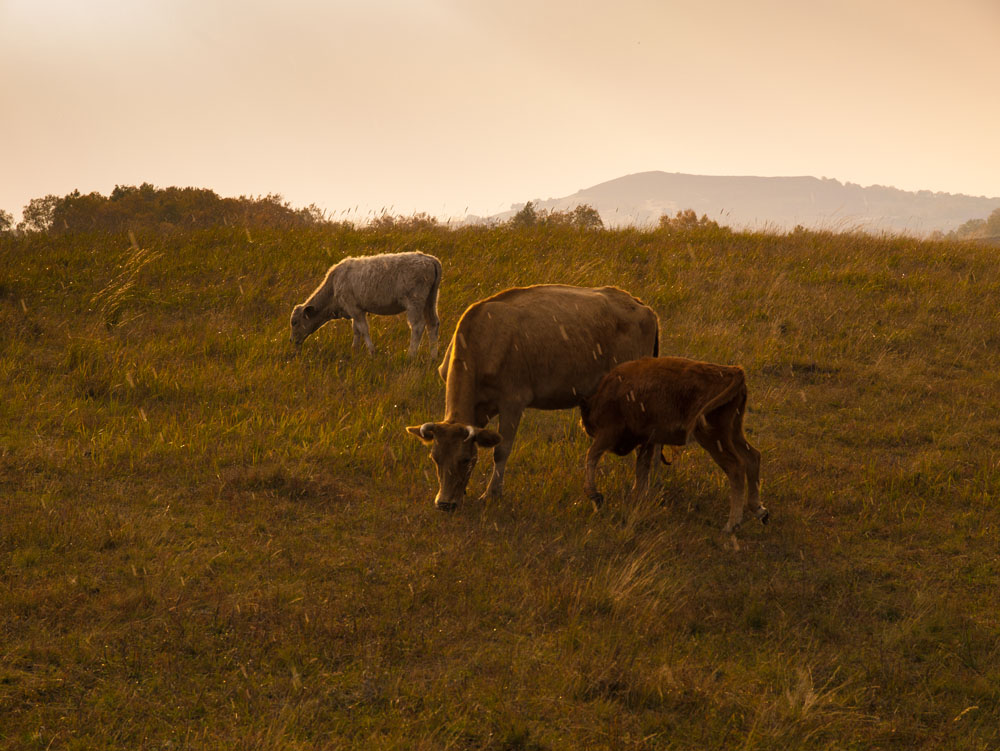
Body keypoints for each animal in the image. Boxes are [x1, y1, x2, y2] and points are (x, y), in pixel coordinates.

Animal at [292, 251, 444, 356]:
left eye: (294, 322)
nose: (291, 341)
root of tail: (429, 258)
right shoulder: (356, 309)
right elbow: (356, 330)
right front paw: (355, 351)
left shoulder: (353, 308)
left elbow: (364, 329)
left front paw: (371, 352)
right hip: (431, 300)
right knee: (433, 324)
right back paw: (433, 356)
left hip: (415, 302)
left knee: (418, 326)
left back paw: (411, 355)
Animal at [402, 284, 660, 512]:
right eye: (434, 458)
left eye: (465, 459)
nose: (444, 504)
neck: (482, 339)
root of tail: (641, 306)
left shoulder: (513, 402)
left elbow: (501, 450)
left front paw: (491, 494)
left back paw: (643, 490)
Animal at [580, 356, 764, 536]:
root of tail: (734, 372)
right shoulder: (648, 440)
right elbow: (641, 471)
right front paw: (637, 501)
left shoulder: (608, 432)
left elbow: (592, 455)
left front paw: (595, 496)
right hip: (733, 431)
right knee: (753, 456)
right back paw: (760, 511)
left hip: (712, 437)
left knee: (736, 467)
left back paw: (731, 525)